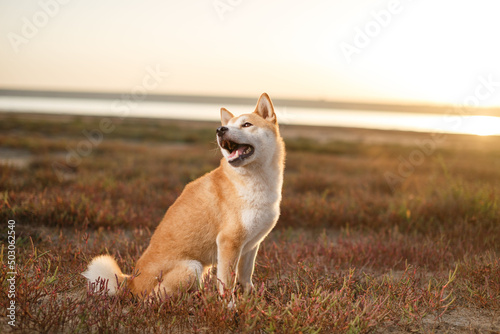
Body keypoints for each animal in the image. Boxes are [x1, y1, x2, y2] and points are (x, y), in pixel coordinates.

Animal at [82, 92, 286, 298]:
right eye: (229, 125)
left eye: (246, 124)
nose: (220, 129)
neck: (255, 183)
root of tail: (131, 282)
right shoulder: (229, 242)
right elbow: (226, 286)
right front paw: (229, 305)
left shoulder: (251, 245)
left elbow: (246, 278)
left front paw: (252, 300)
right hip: (192, 267)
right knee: (153, 298)